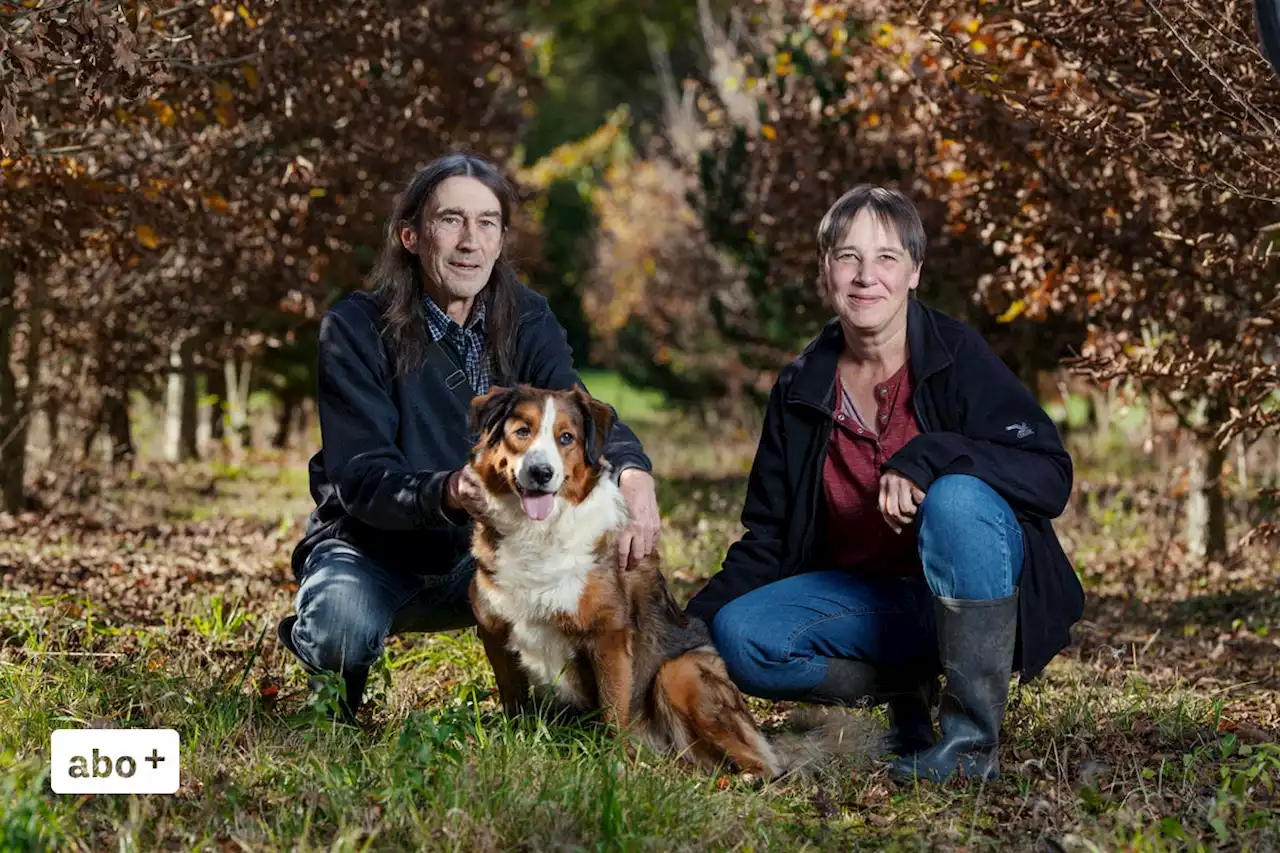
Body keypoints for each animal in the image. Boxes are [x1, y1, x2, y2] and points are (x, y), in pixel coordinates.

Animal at [460, 384, 778, 778]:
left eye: (566, 438)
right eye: (522, 432)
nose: (541, 472)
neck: (538, 533)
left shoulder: (608, 635)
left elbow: (613, 707)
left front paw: (614, 765)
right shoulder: (493, 628)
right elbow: (513, 696)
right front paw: (514, 737)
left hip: (679, 671)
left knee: (764, 761)